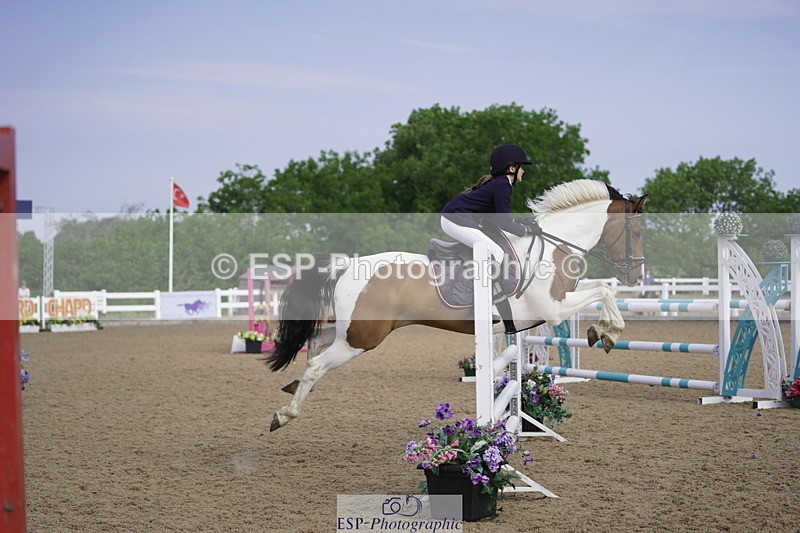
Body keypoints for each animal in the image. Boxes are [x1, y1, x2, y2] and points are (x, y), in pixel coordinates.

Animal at [266, 179, 647, 431]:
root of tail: (347, 265)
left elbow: (601, 289)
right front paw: (608, 333)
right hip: (362, 338)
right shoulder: (552, 309)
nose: (636, 275)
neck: (554, 246)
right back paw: (284, 414)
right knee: (317, 363)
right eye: (637, 232)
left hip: (354, 331)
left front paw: (603, 332)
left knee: (315, 342)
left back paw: (292, 387)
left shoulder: (561, 300)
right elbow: (604, 292)